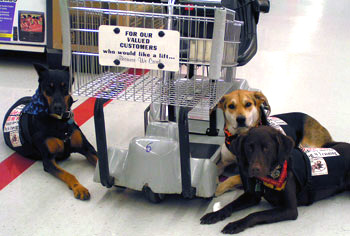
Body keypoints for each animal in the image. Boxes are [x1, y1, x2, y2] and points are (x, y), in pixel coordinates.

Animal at [2, 63, 98, 200]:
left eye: (64, 86)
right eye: (49, 87)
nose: (58, 108)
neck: (59, 122)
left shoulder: (87, 148)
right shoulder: (48, 160)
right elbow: (68, 174)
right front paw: (79, 188)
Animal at [201, 126, 348, 233]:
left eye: (267, 148)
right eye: (249, 147)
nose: (254, 170)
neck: (270, 177)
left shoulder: (289, 210)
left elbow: (255, 215)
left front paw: (236, 224)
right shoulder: (252, 196)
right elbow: (230, 205)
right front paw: (215, 214)